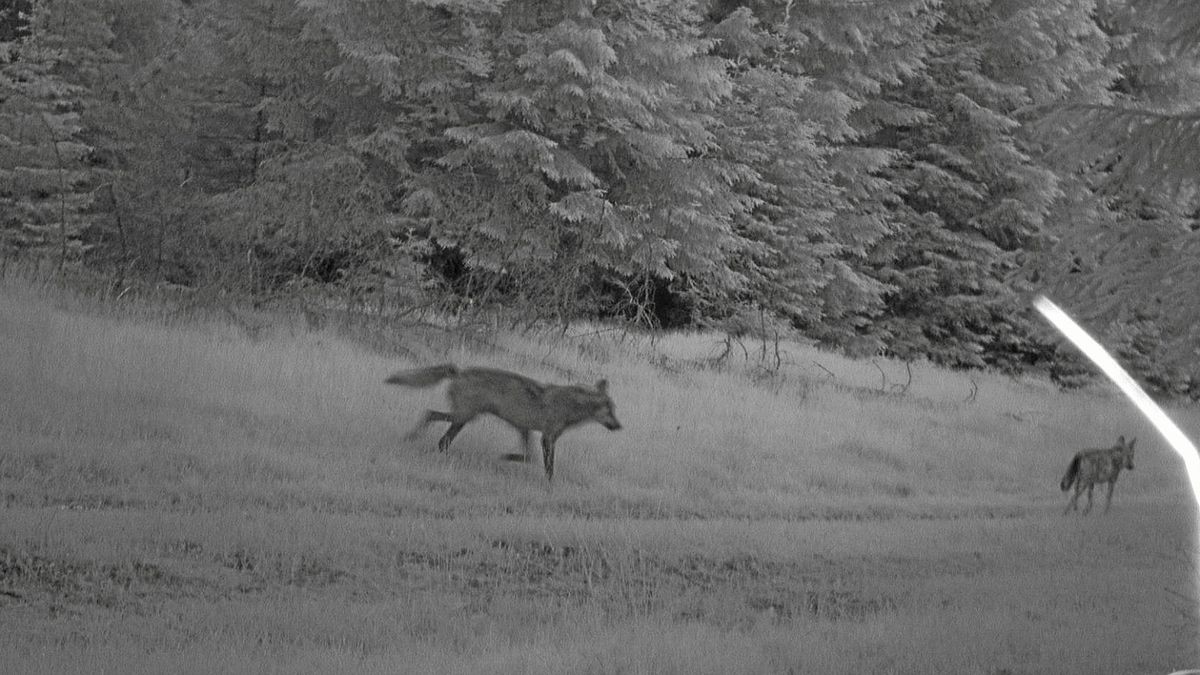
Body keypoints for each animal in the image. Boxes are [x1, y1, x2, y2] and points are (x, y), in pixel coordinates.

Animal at [388, 362, 624, 478]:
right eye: (610, 412)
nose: (620, 426)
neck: (570, 406)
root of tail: (460, 371)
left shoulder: (526, 430)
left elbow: (529, 458)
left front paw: (507, 457)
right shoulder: (547, 438)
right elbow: (547, 467)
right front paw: (550, 487)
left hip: (464, 419)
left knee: (440, 436)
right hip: (463, 416)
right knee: (432, 419)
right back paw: (414, 439)